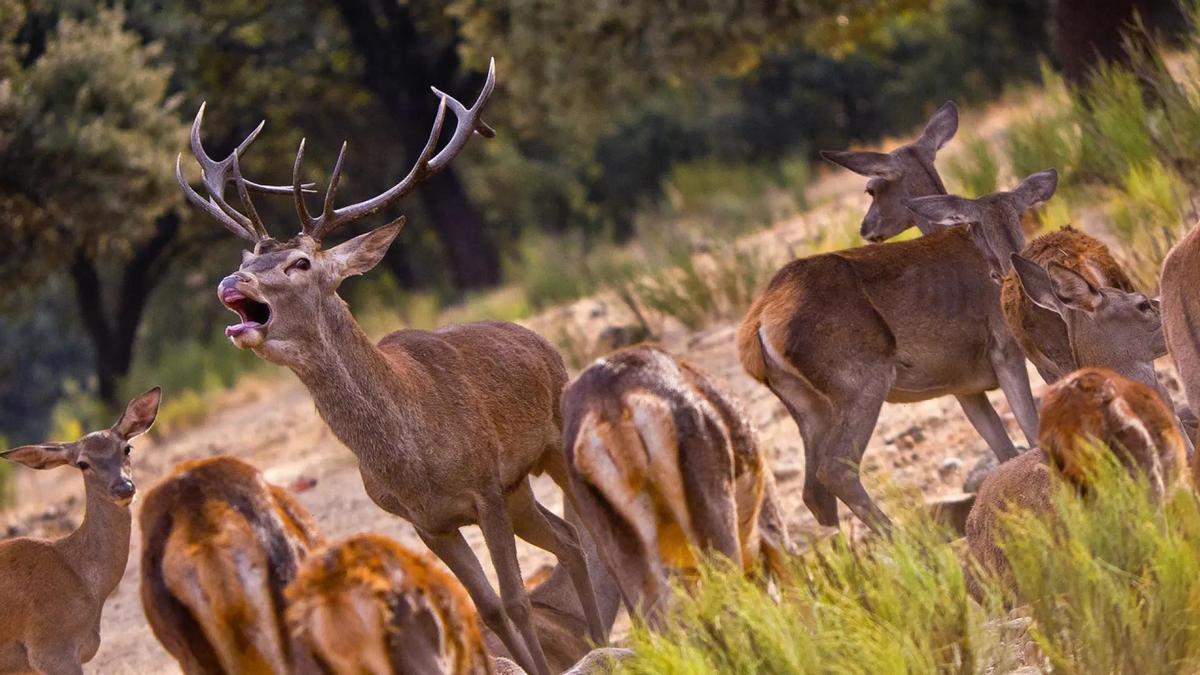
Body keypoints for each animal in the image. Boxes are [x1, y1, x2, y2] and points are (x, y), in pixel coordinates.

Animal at [175, 59, 604, 675]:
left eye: (299, 262)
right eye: (245, 258)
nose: (233, 281)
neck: (414, 457)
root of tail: (540, 340)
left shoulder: (484, 486)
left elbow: (518, 600)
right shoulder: (425, 520)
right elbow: (489, 609)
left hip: (550, 445)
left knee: (585, 531)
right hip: (520, 484)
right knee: (568, 538)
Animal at [737, 170, 1056, 532]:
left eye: (1018, 216)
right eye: (977, 226)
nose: (1006, 271)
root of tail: (758, 324)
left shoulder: (963, 385)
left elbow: (1004, 450)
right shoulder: (1005, 351)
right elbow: (1030, 430)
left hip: (806, 404)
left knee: (814, 492)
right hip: (861, 378)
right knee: (835, 468)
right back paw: (905, 539)